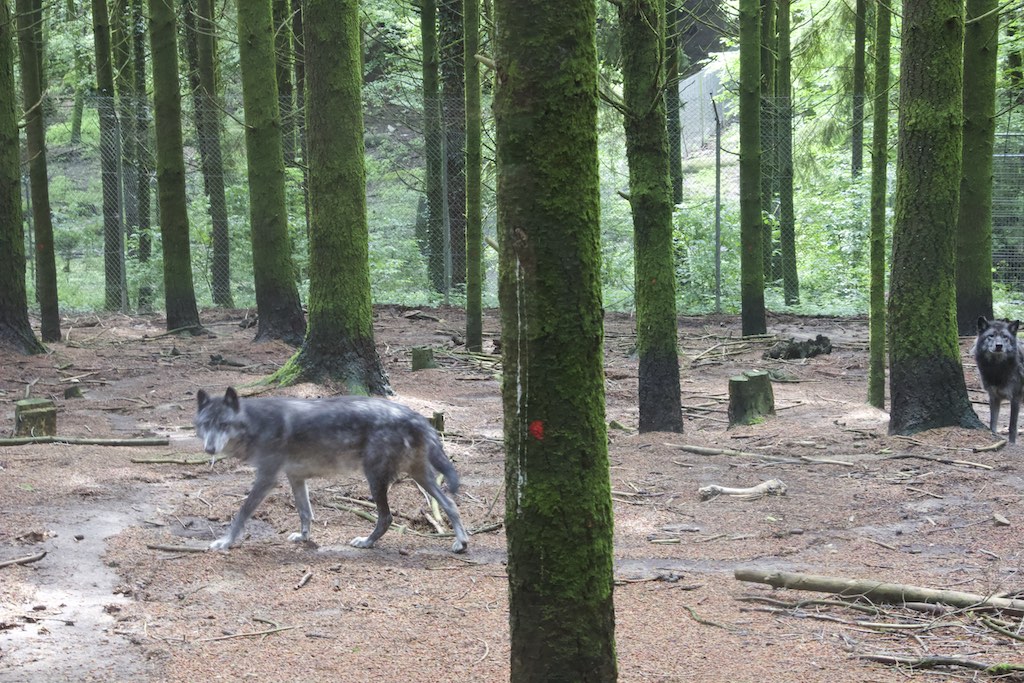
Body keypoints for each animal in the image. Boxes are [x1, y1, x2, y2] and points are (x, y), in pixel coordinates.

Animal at [194, 387, 469, 553]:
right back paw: (461, 542)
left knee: (386, 517)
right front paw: (304, 538)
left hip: (375, 478)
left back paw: (366, 542)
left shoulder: (266, 479)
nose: (209, 449)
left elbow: (241, 513)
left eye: (223, 424)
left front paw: (225, 541)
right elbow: (305, 513)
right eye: (205, 424)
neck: (256, 423)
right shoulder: (295, 478)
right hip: (420, 476)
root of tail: (416, 416)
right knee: (450, 504)